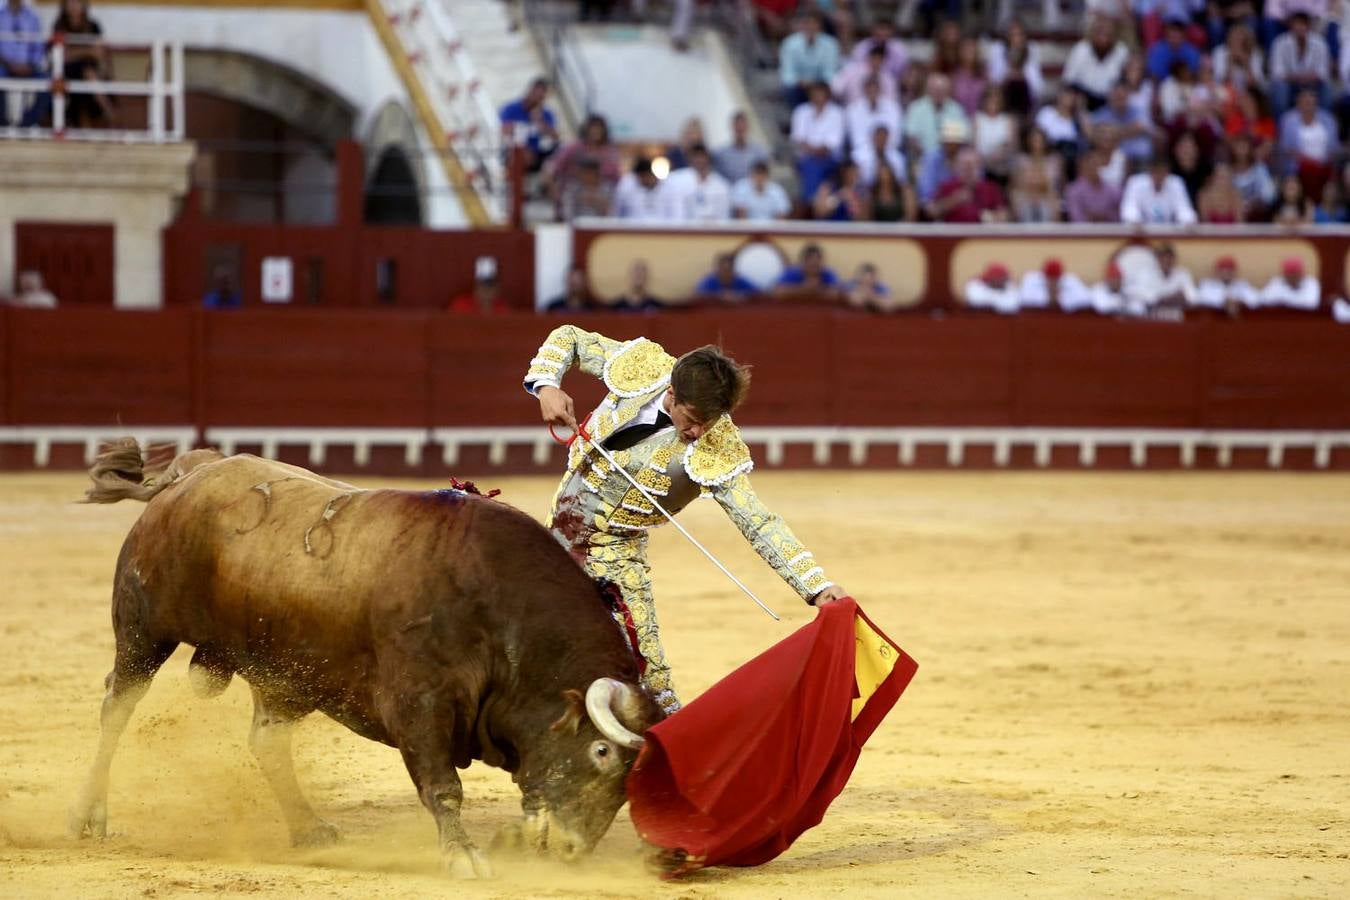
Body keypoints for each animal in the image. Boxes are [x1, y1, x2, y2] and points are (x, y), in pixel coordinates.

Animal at [71, 442, 661, 879]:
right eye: (602, 752)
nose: (572, 850)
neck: (497, 608)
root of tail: (189, 474)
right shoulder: (419, 704)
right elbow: (444, 785)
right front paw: (464, 857)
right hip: (144, 632)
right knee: (117, 706)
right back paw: (86, 816)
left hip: (285, 671)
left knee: (266, 740)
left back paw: (308, 829)